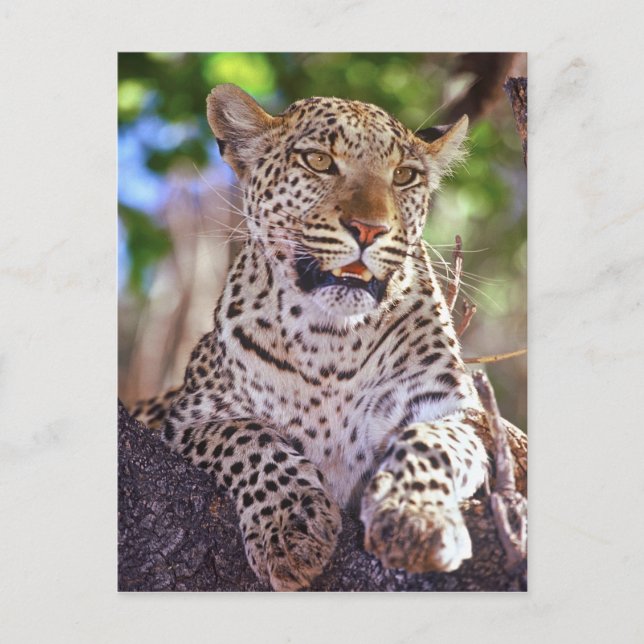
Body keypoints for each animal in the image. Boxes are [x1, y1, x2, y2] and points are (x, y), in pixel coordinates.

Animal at [130, 83, 495, 591]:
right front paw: (290, 527)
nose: (370, 229)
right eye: (319, 161)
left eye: (404, 176)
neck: (332, 341)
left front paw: (412, 519)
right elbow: (250, 439)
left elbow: (430, 443)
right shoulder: (190, 420)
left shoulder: (454, 411)